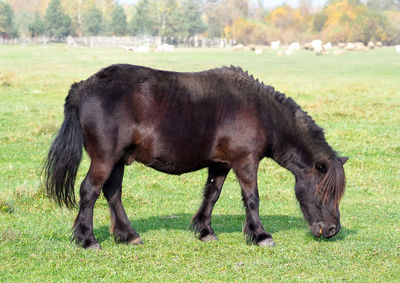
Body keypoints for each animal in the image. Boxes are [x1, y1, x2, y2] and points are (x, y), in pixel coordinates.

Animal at [44, 63, 346, 248]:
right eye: (323, 192)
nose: (332, 230)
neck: (260, 112)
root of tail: (84, 86)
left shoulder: (221, 164)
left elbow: (212, 195)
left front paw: (205, 231)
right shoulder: (245, 162)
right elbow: (252, 198)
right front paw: (261, 235)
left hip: (118, 160)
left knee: (113, 194)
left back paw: (128, 236)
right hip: (105, 159)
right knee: (89, 191)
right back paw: (88, 240)